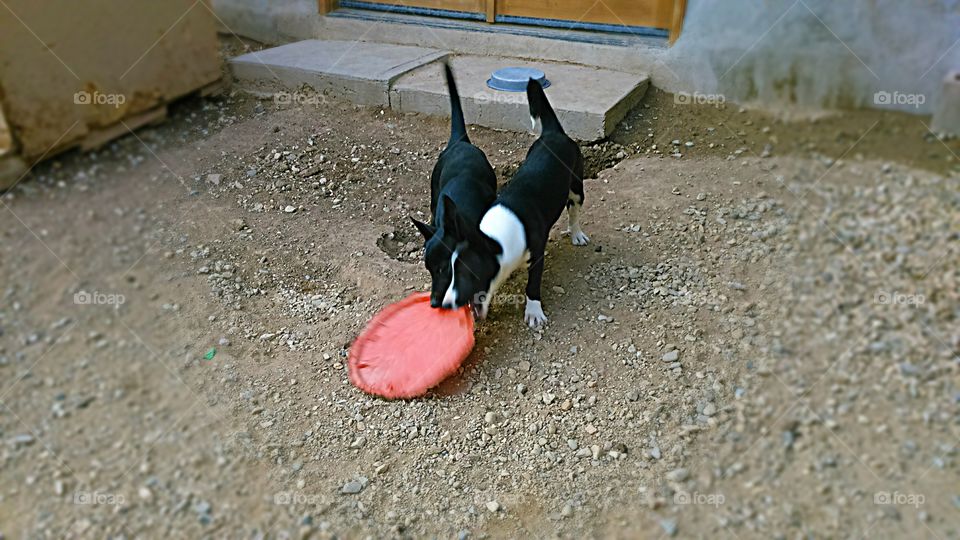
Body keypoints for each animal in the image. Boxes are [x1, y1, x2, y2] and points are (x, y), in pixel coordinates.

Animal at [440, 77, 584, 326]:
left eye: (468, 274)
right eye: (448, 274)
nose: (446, 305)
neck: (496, 237)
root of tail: (553, 132)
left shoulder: (537, 255)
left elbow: (533, 285)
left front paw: (534, 312)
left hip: (576, 186)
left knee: (574, 209)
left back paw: (576, 234)